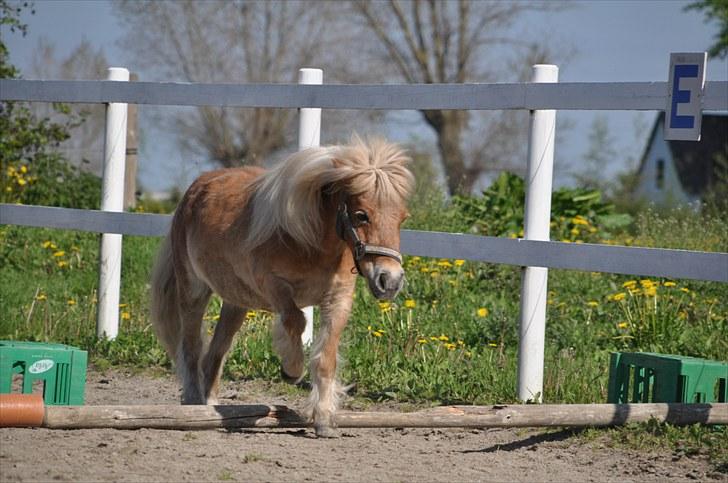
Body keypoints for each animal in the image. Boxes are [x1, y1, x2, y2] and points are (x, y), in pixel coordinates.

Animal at [149, 137, 410, 438]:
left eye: (402, 218)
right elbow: (296, 321)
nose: (390, 280)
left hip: (236, 302)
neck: (309, 241)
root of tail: (194, 190)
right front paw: (291, 370)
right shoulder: (275, 288)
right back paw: (192, 404)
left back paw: (210, 407)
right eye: (361, 215)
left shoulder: (338, 299)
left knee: (214, 354)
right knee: (191, 347)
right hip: (193, 291)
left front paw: (324, 420)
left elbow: (325, 359)